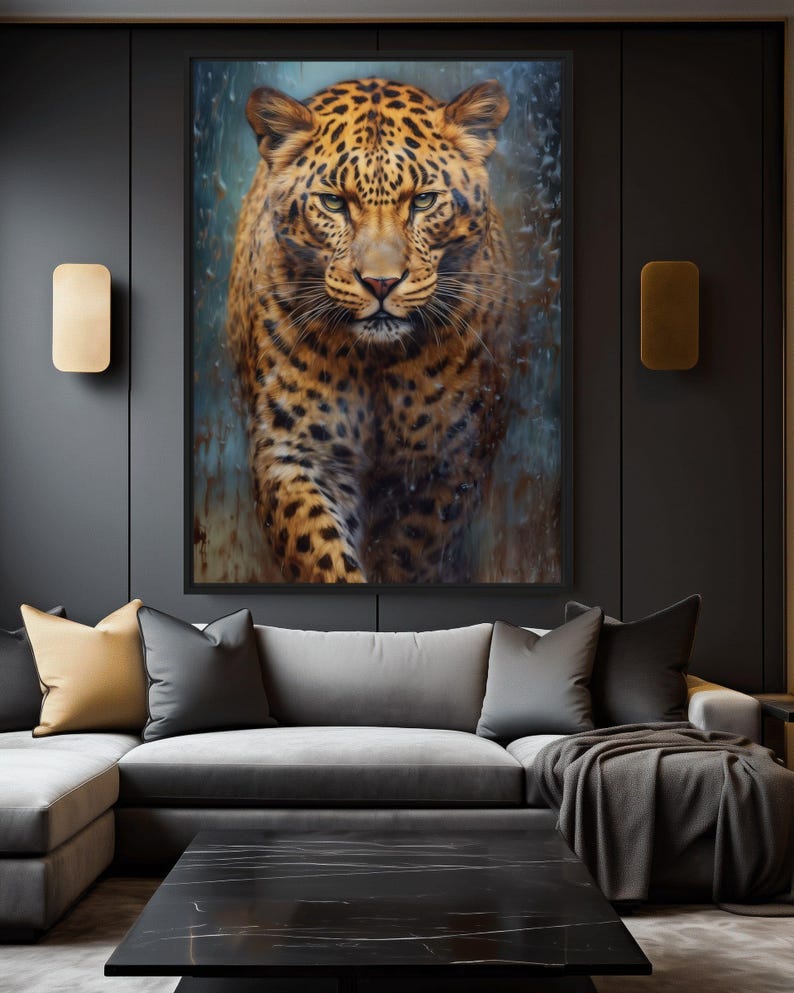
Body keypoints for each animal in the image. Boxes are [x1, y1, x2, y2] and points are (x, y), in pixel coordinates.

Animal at [226, 75, 513, 584]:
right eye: (333, 203)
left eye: (424, 200)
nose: (381, 282)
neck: (375, 361)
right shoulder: (295, 453)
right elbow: (322, 553)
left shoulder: (450, 464)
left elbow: (410, 553)